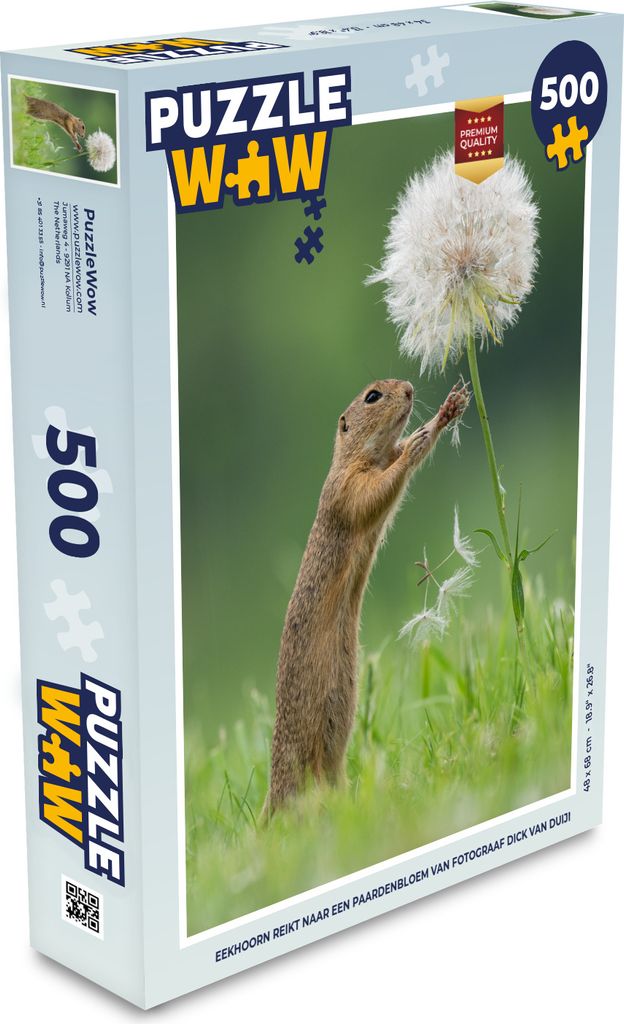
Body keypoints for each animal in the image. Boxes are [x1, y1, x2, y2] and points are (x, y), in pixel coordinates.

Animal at [265, 378, 470, 813]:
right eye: (372, 397)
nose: (409, 388)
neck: (362, 457)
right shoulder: (348, 487)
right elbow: (375, 492)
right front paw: (418, 443)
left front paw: (445, 413)